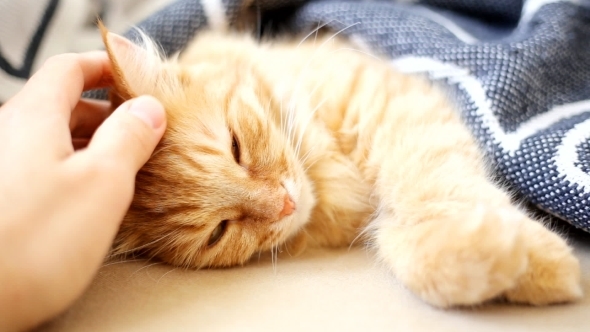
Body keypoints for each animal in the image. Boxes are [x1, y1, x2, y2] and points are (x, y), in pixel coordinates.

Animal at [100, 24, 584, 308]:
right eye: (218, 233)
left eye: (236, 147)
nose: (284, 204)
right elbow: (407, 250)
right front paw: (492, 253)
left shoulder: (396, 112)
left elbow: (431, 187)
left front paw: (541, 264)